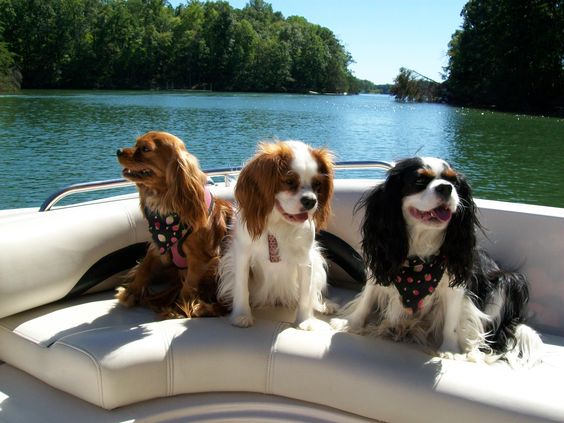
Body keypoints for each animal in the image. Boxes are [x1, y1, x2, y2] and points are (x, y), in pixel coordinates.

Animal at [115, 131, 232, 316]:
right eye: (136, 143)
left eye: (145, 148)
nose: (118, 151)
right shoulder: (157, 246)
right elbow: (144, 268)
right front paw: (131, 292)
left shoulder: (199, 259)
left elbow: (189, 286)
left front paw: (180, 308)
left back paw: (202, 308)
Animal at [330, 157, 540, 366]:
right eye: (419, 180)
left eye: (454, 182)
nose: (446, 188)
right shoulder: (381, 266)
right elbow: (367, 298)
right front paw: (351, 323)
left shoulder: (456, 286)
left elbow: (452, 320)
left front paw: (450, 349)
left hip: (508, 280)